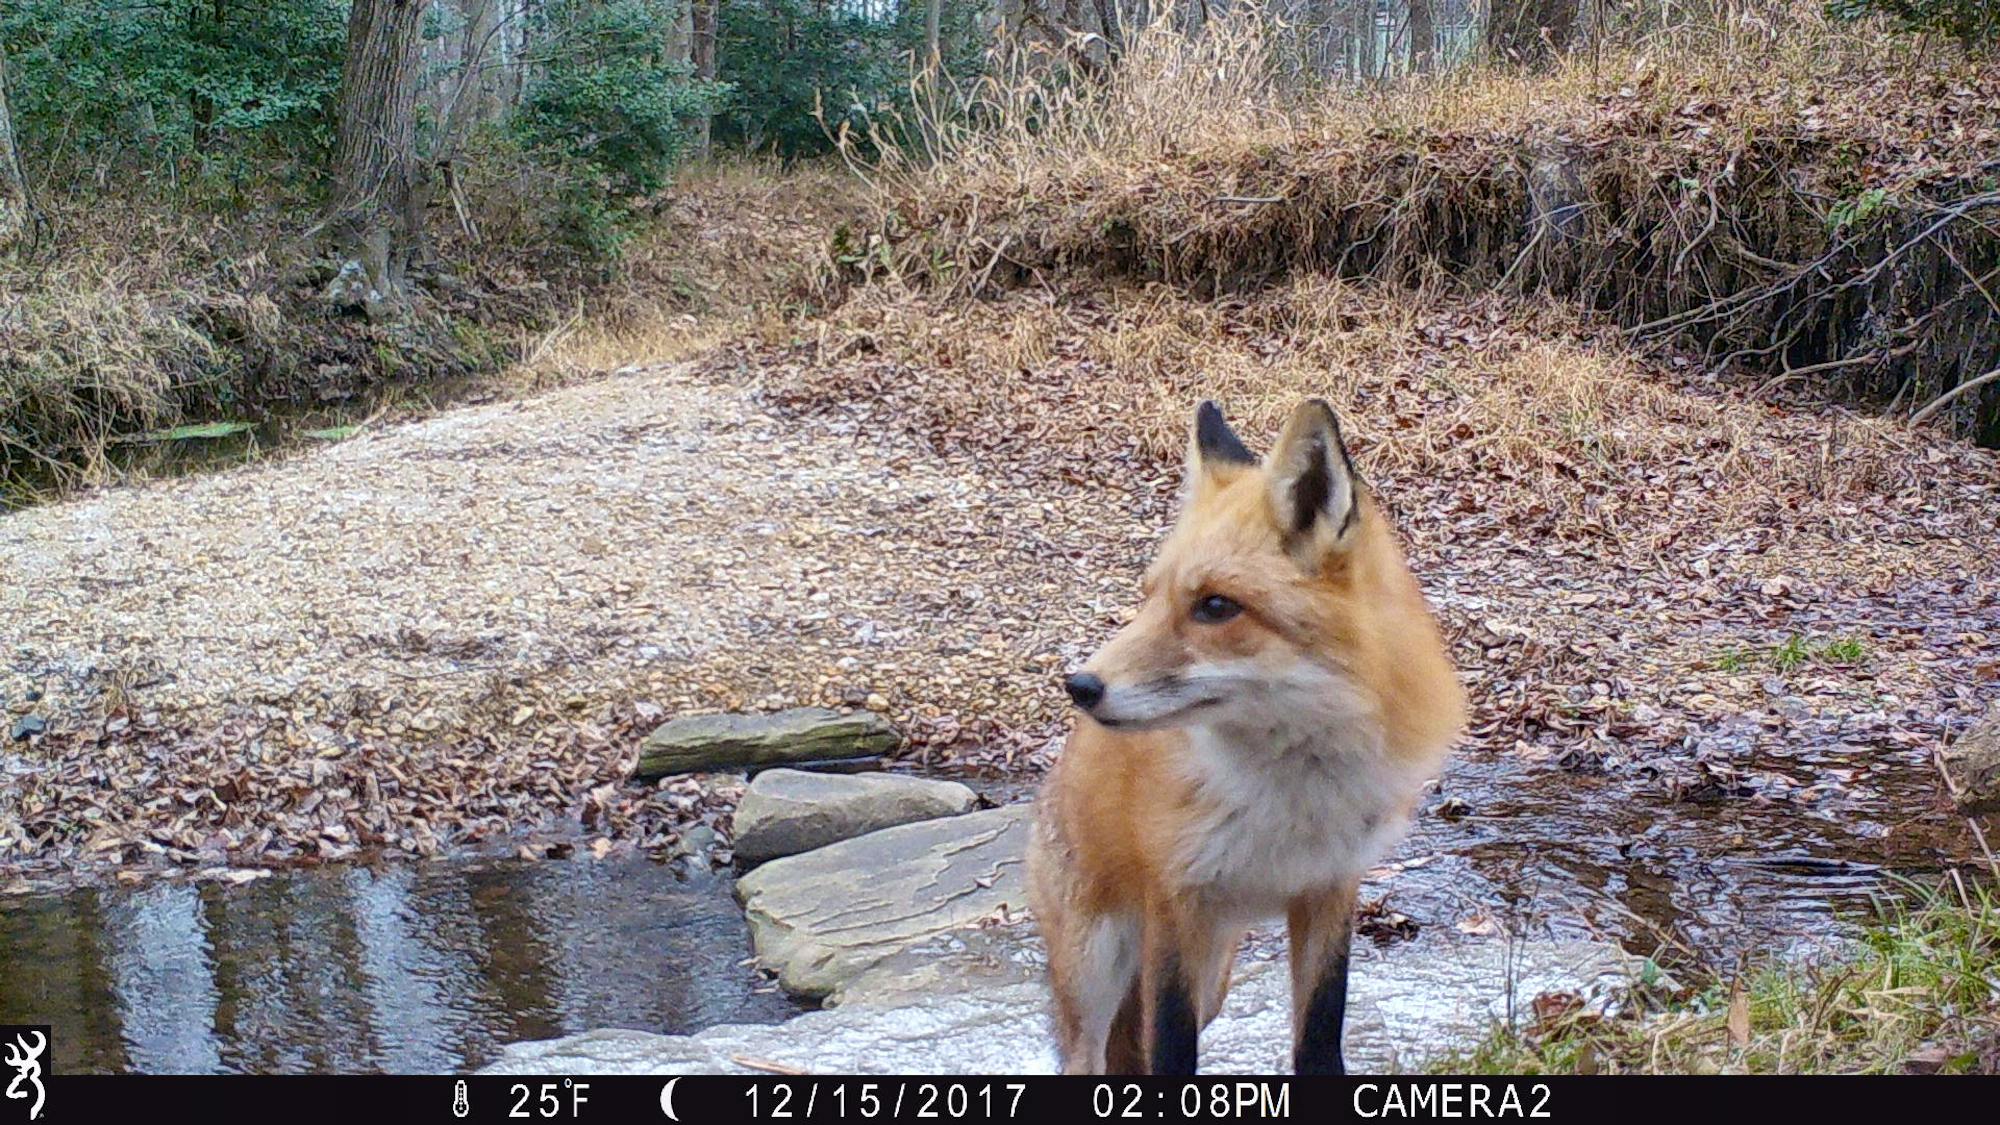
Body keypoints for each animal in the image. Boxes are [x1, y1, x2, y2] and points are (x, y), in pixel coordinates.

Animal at [1024, 396, 1464, 1064]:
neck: (1292, 792)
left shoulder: (1329, 891)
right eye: (1149, 597)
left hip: (1215, 978)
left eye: (1215, 606)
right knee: (1090, 1056)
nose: (1081, 687)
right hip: (1097, 972)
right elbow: (1171, 1050)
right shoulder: (1176, 904)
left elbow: (1320, 1035)